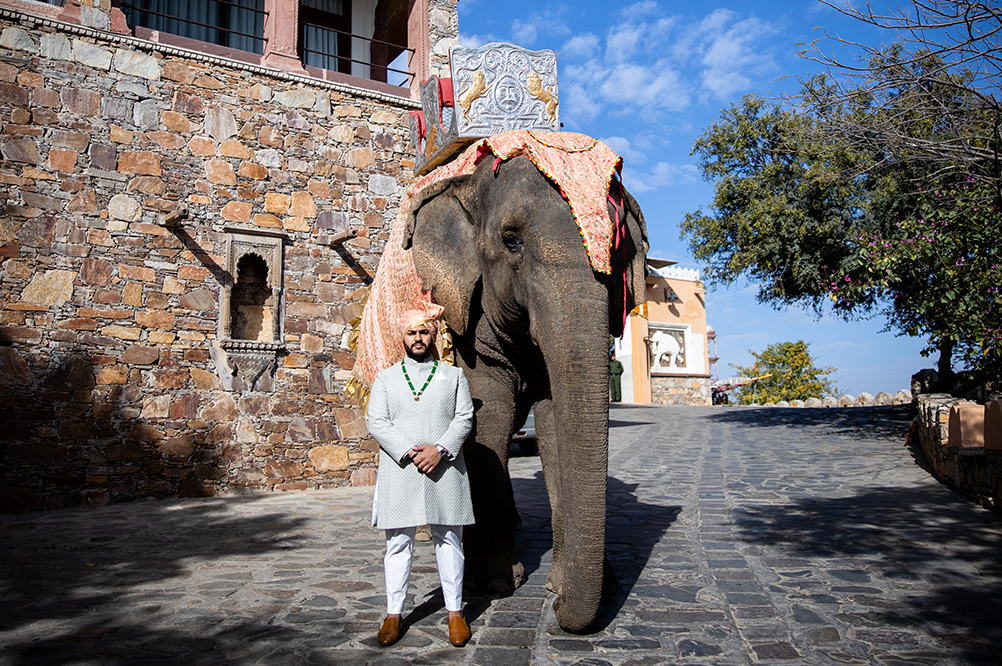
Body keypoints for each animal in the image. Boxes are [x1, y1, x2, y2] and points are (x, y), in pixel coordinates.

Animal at [400, 148, 649, 632]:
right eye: (511, 241)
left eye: (615, 250)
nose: (556, 611)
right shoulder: (467, 322)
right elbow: (488, 418)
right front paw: (495, 584)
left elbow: (554, 429)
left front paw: (570, 583)